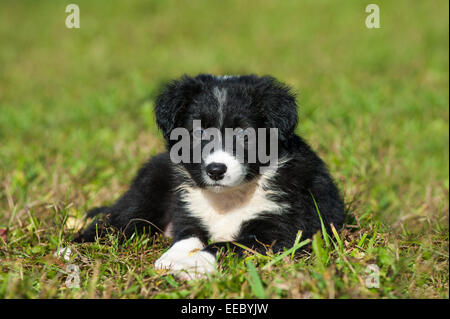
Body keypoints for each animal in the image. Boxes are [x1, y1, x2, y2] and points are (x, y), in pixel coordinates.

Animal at [76, 74, 344, 280]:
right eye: (198, 132)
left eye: (244, 134)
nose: (216, 170)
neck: (229, 198)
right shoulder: (189, 212)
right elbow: (188, 237)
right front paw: (173, 258)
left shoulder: (278, 231)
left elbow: (224, 246)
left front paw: (190, 264)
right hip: (148, 186)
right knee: (119, 218)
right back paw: (78, 246)